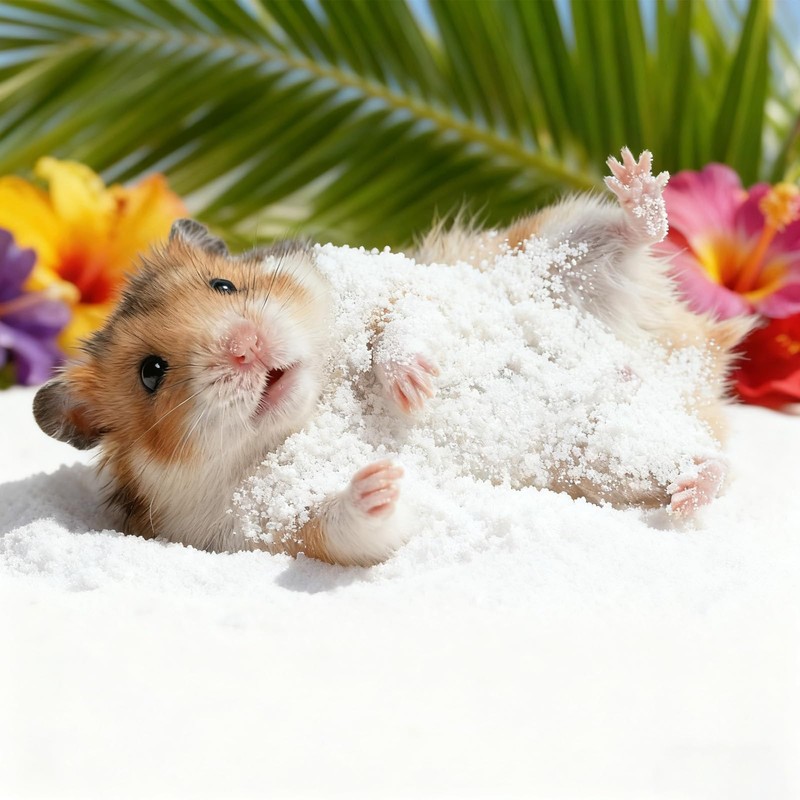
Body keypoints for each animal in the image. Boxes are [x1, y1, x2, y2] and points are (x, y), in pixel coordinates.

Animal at [33, 149, 751, 566]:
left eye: (224, 286)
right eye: (150, 372)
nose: (246, 346)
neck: (313, 399)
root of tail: (690, 373)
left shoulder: (389, 283)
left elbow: (400, 324)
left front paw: (414, 388)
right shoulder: (264, 519)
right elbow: (344, 521)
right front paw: (379, 482)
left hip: (555, 250)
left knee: (625, 233)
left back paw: (637, 184)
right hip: (600, 452)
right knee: (688, 463)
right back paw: (695, 482)